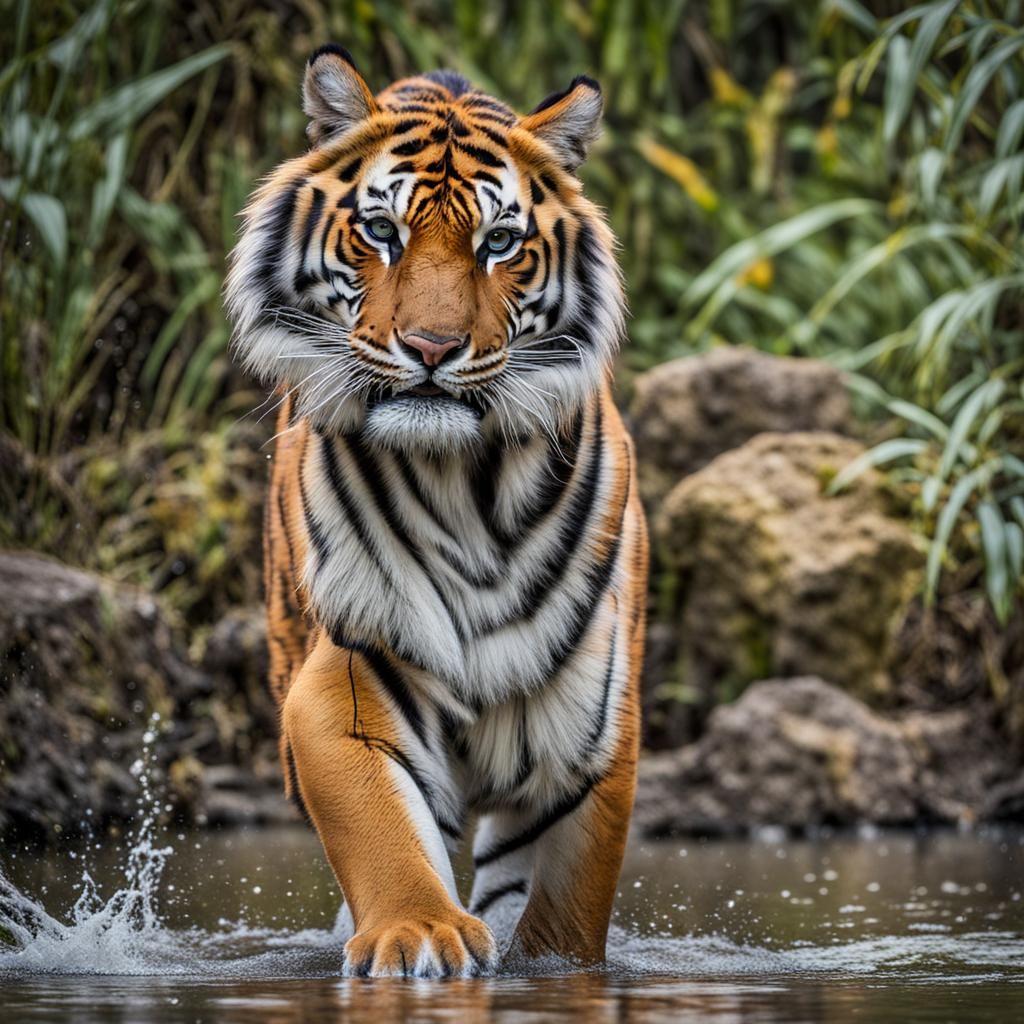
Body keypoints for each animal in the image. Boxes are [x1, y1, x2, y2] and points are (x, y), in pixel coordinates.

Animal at [225, 45, 648, 978]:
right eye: (382, 231)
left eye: (500, 244)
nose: (430, 348)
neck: (467, 486)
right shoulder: (347, 677)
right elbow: (383, 828)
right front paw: (420, 934)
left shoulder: (591, 727)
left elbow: (569, 905)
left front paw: (549, 968)